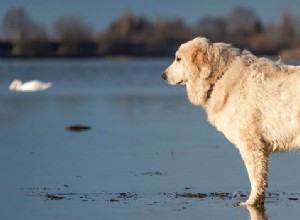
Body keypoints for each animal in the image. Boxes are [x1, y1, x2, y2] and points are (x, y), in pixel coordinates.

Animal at [163, 37, 300, 207]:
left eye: (178, 59)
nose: (163, 75)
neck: (222, 76)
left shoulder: (251, 143)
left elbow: (255, 176)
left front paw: (251, 202)